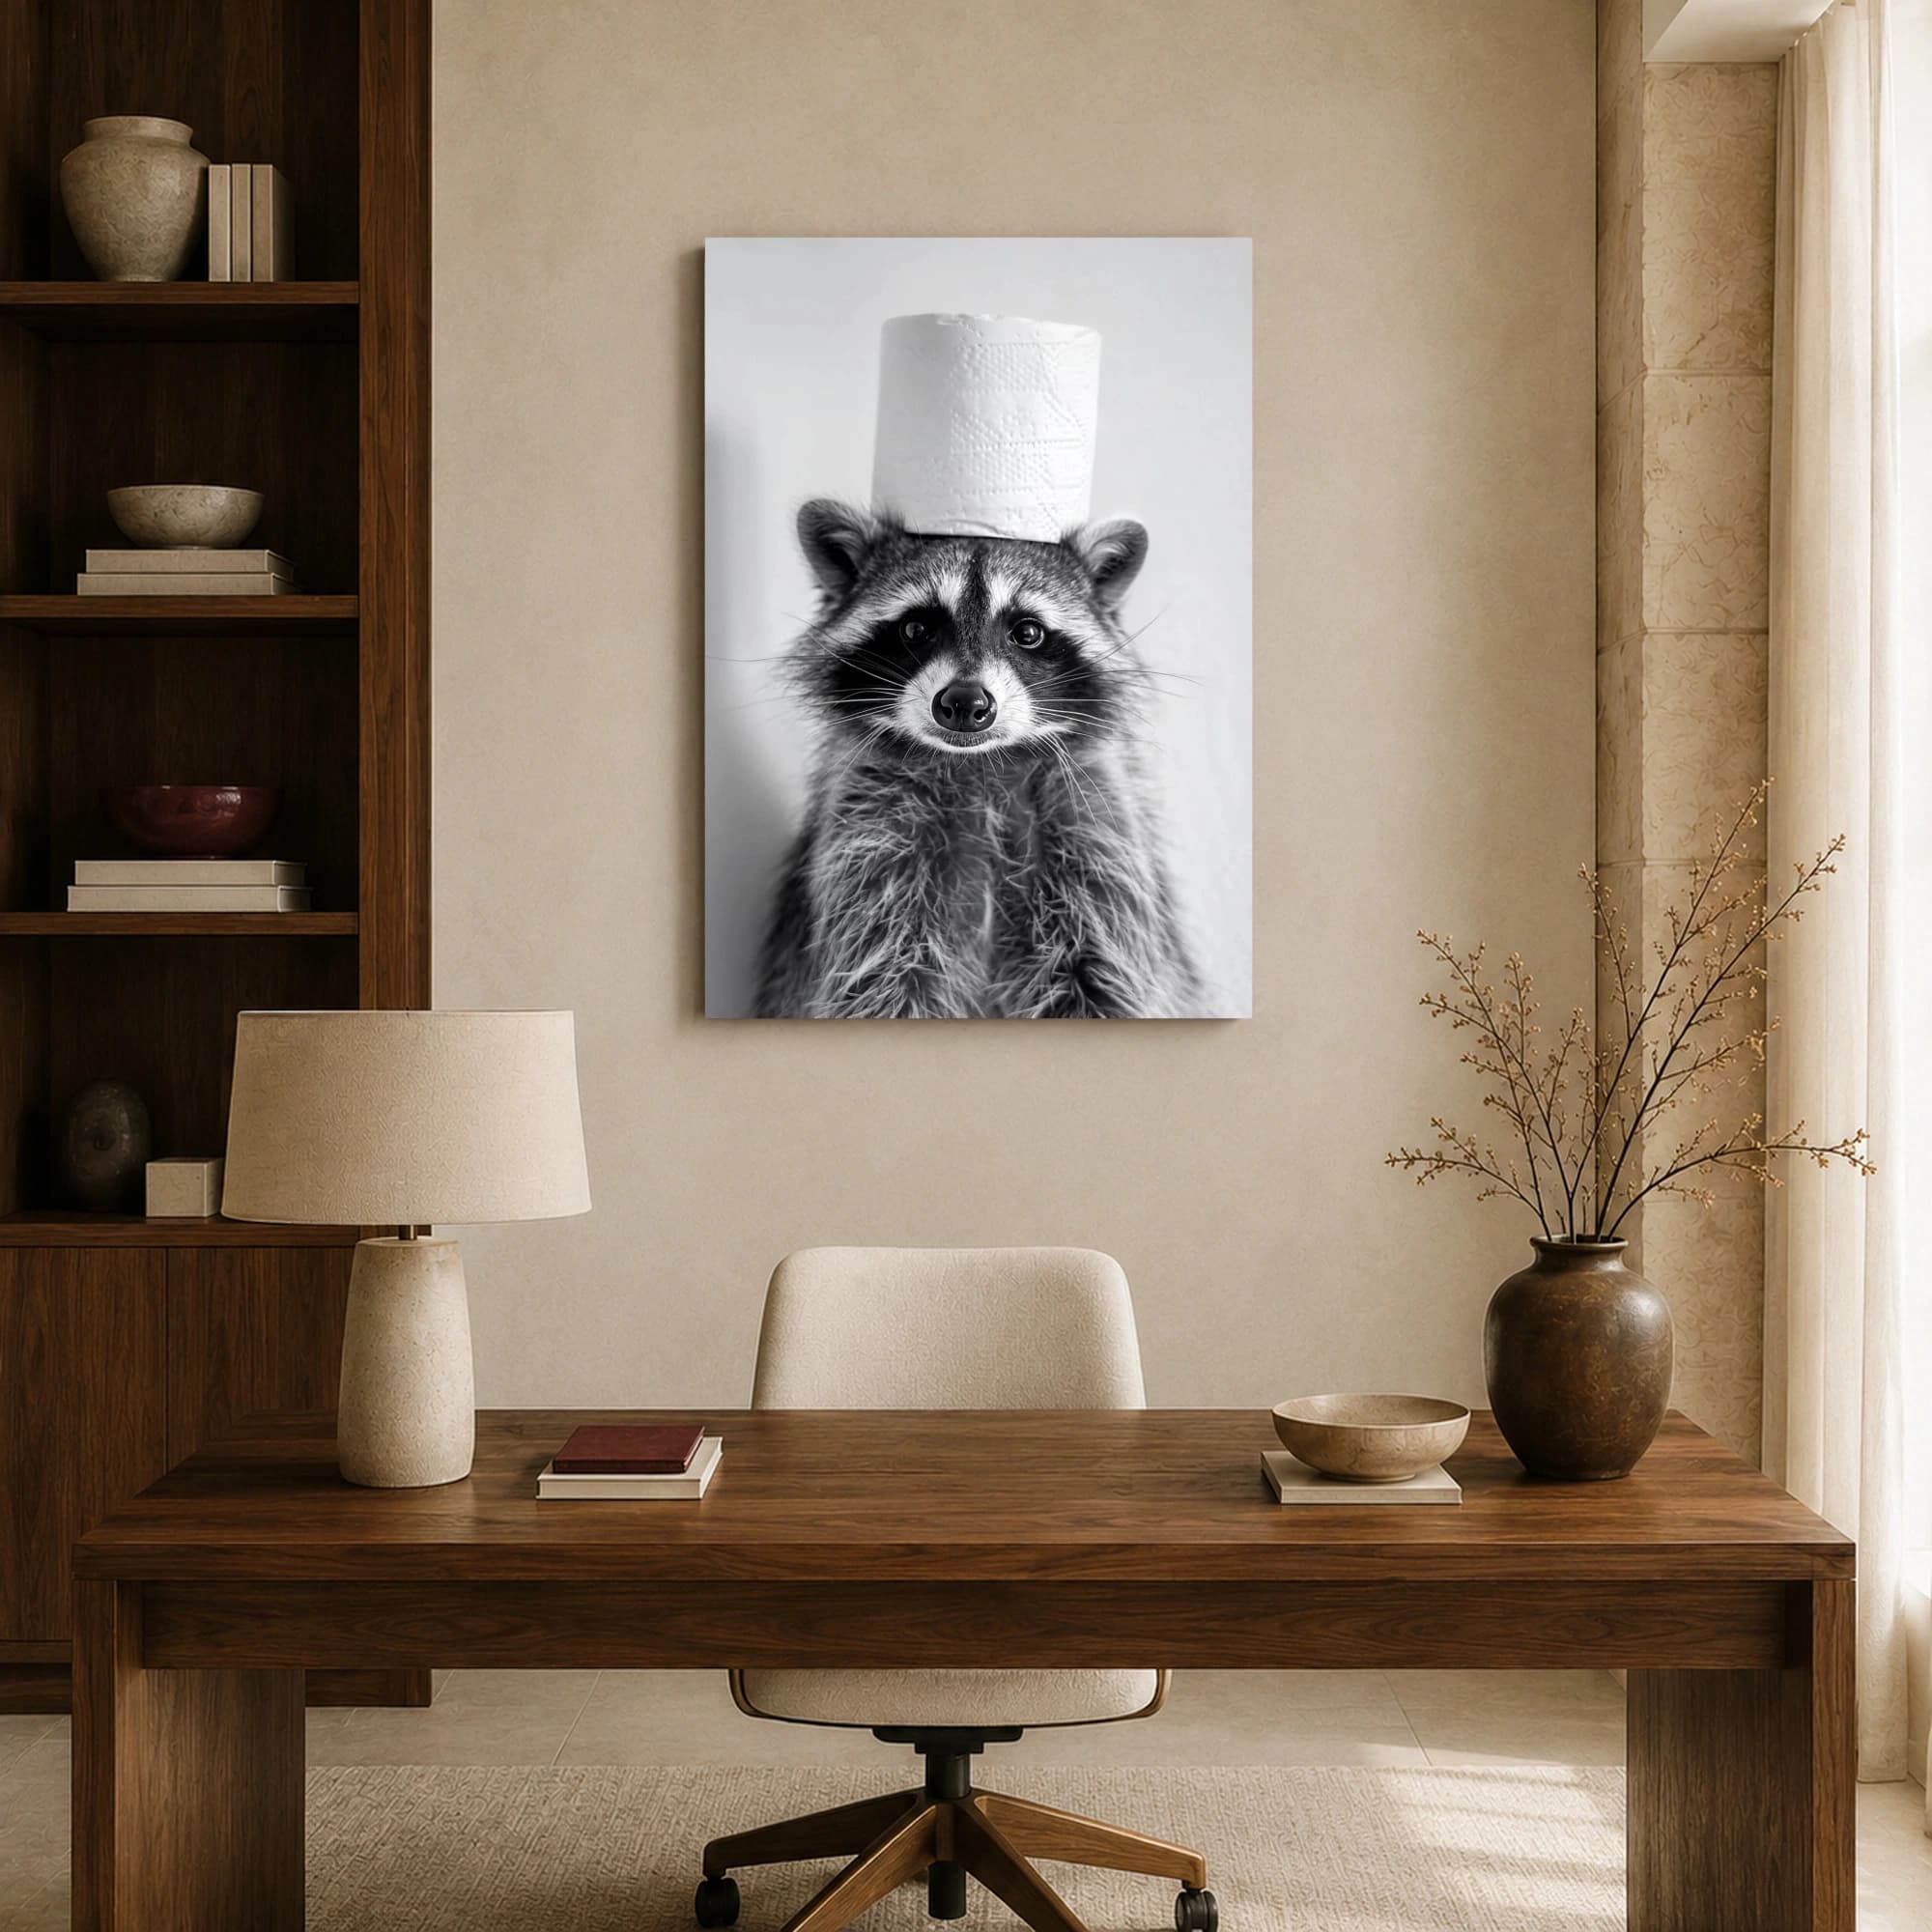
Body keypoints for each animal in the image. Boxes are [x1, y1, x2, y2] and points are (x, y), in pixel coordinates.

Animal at [753, 499, 1200, 1019]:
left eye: (1027, 632)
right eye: (916, 628)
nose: (965, 703)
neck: (981, 764)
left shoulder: (1095, 831)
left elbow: (1103, 975)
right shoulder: (871, 838)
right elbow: (883, 977)